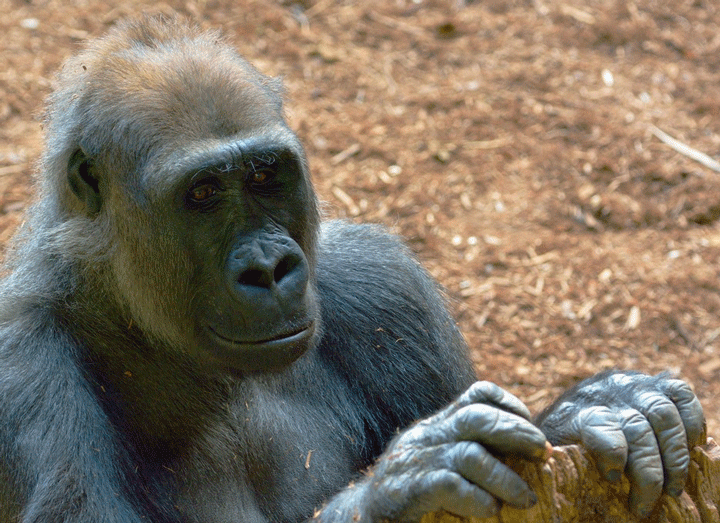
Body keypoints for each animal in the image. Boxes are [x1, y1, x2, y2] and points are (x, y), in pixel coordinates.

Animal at [0, 14, 704, 520]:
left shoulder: (384, 284)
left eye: (265, 176)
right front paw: (404, 481)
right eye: (201, 193)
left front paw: (596, 404)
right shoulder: (19, 366)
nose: (269, 268)